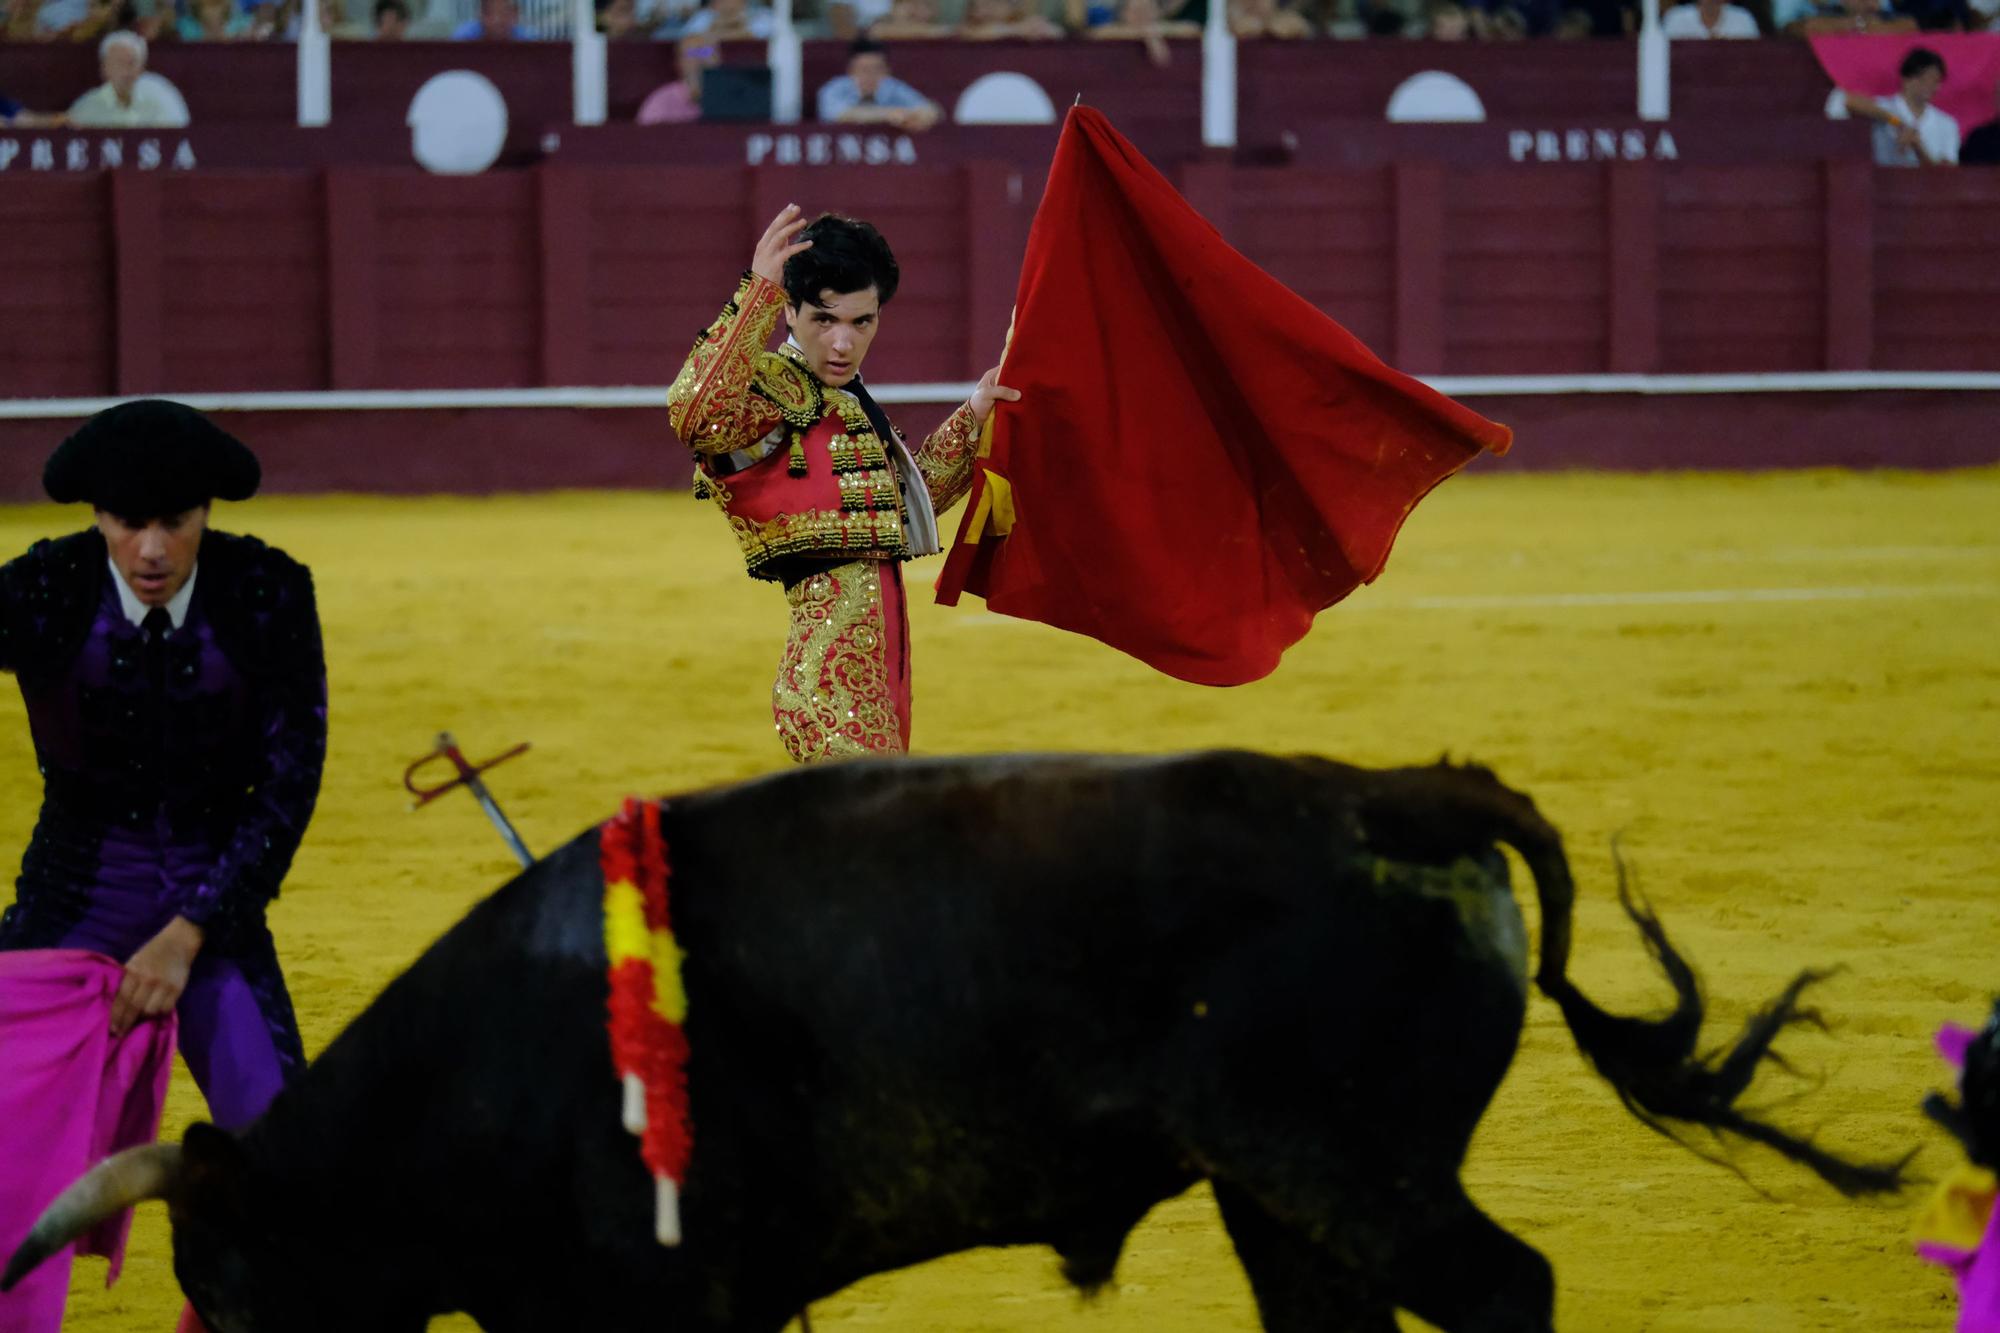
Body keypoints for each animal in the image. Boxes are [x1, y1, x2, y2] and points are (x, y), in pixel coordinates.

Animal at [3, 752, 1904, 1320]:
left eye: (229, 1281)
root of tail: (1393, 788)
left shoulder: (657, 1300)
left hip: (1351, 1173)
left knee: (1507, 1289)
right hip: (1282, 1197)